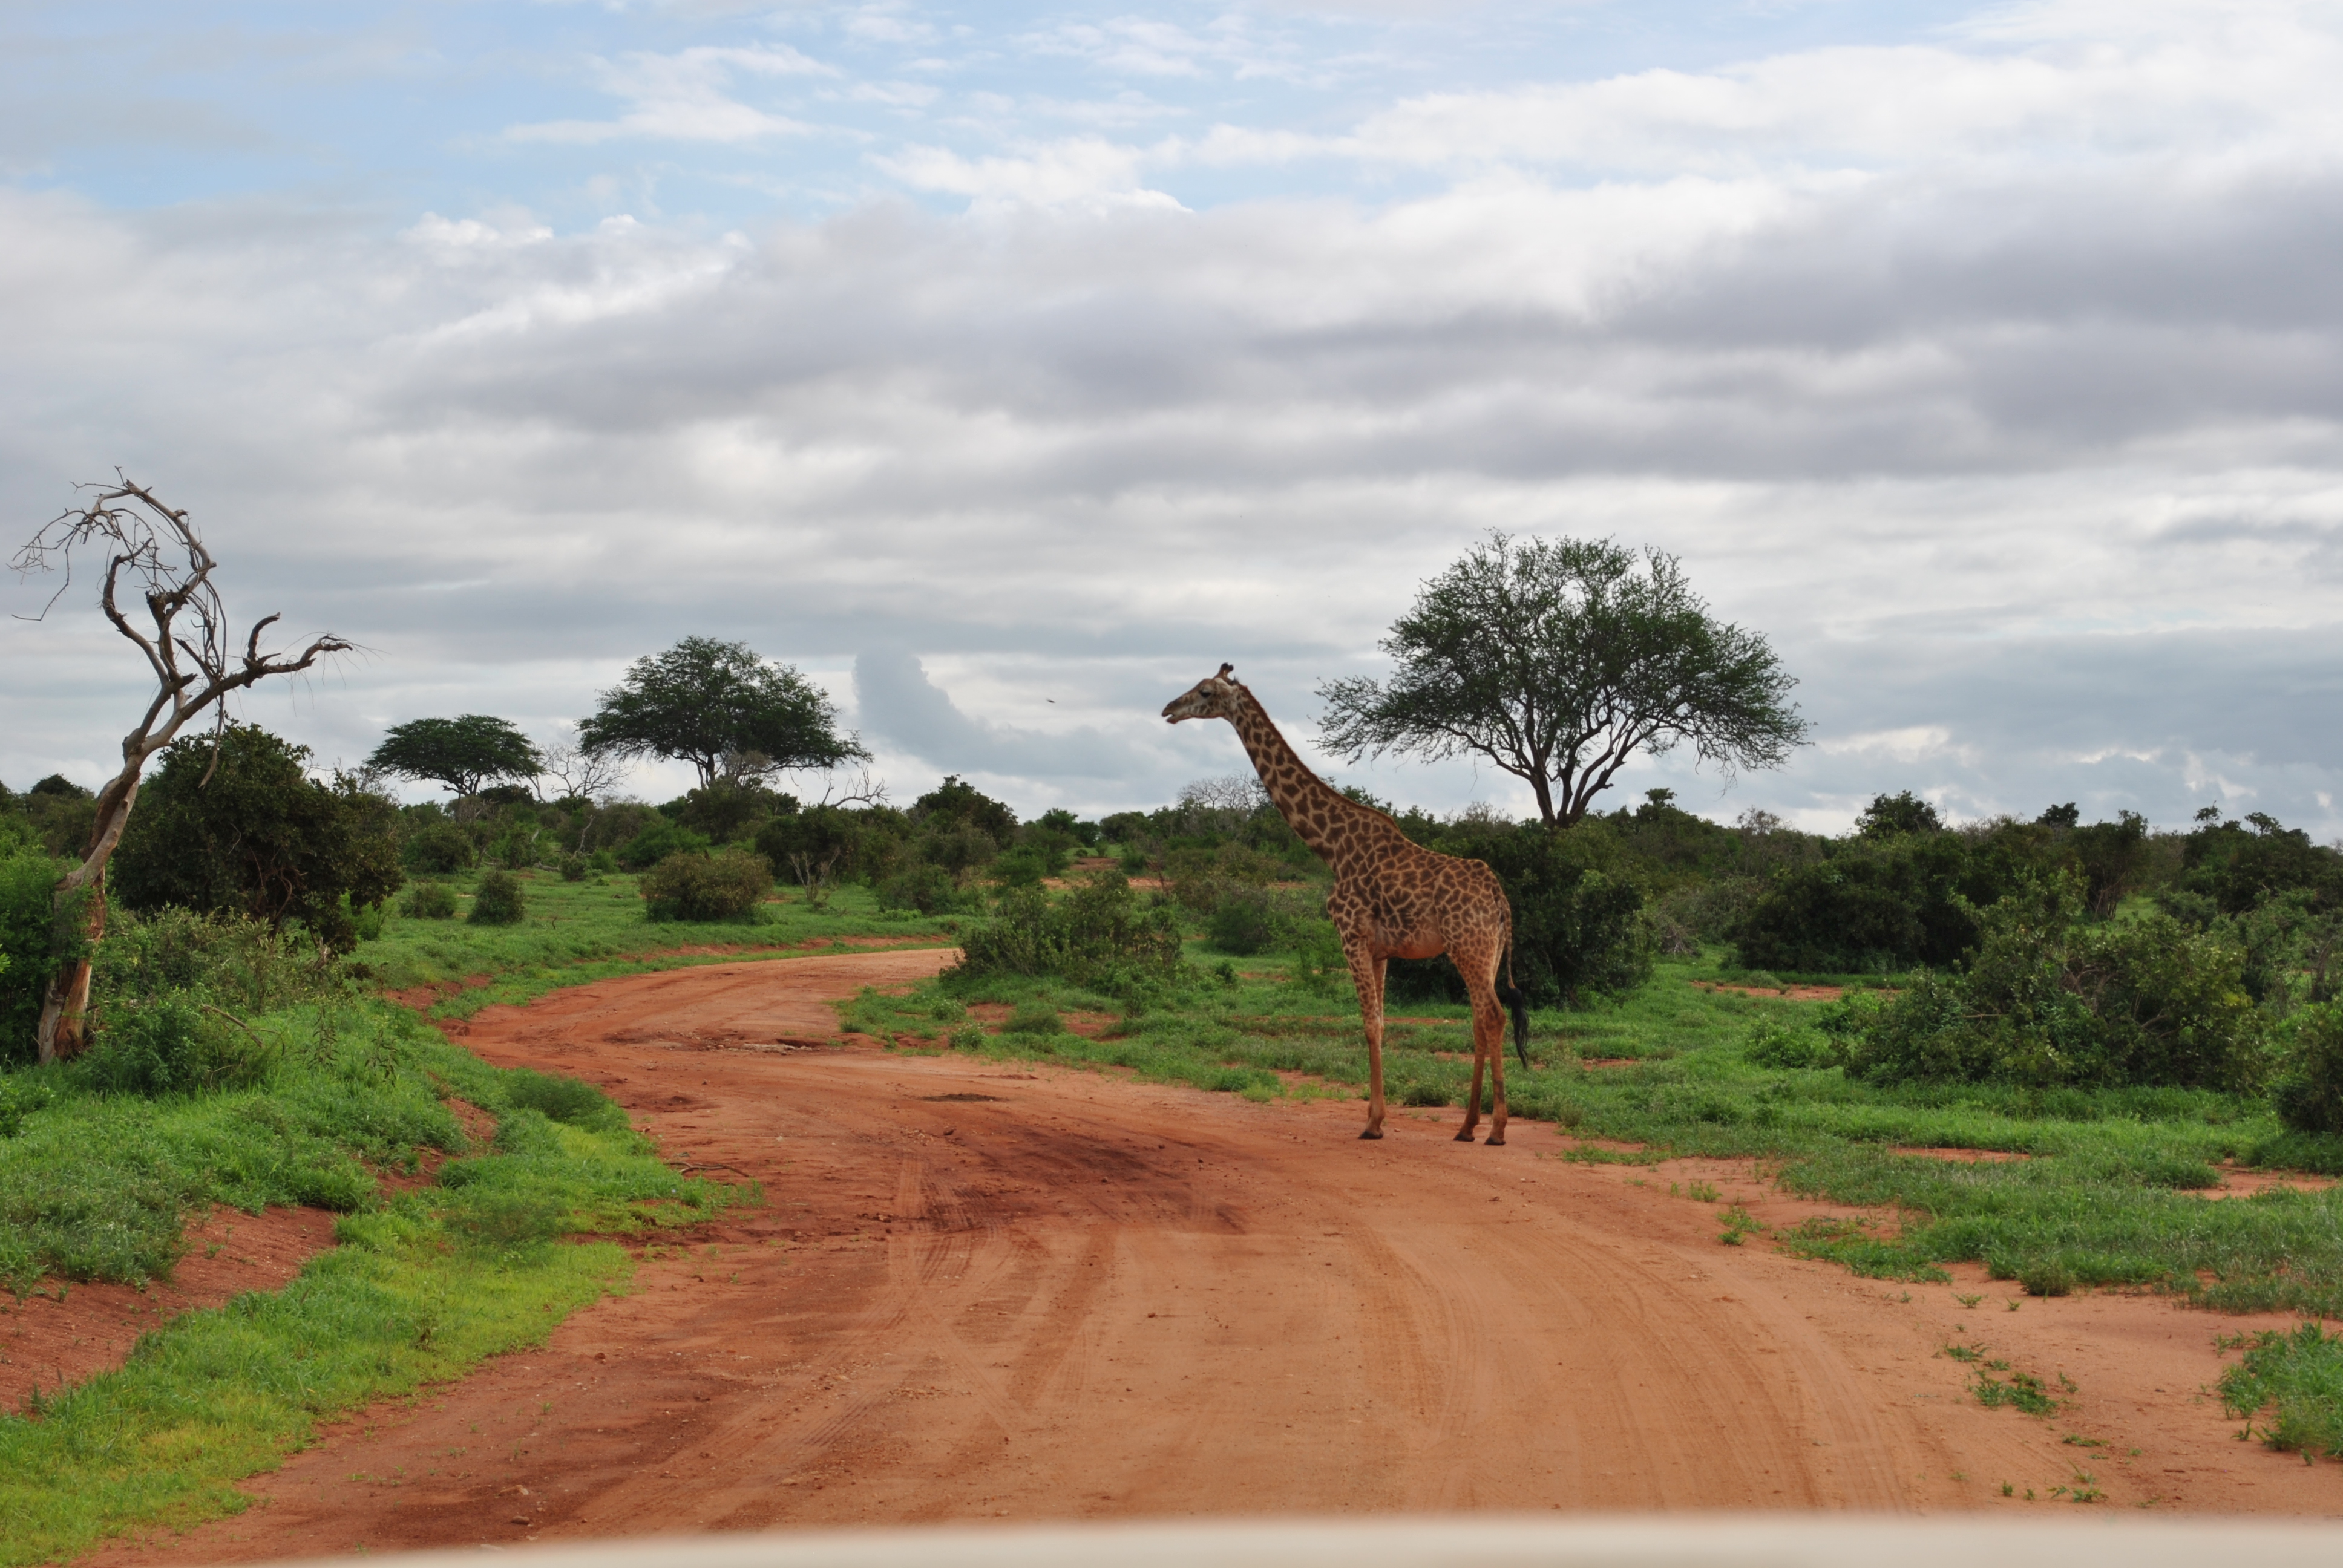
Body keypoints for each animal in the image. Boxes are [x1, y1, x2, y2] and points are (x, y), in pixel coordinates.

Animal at [1162, 665, 1527, 1143]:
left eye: (1205, 692)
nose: (1169, 709)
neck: (1330, 846)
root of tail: (1499, 898)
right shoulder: (1380, 950)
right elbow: (1381, 1022)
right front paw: (1377, 1117)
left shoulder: (1351, 935)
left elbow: (1370, 1024)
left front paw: (1373, 1123)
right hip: (1485, 952)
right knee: (1480, 1021)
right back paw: (1466, 1126)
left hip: (1470, 946)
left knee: (1494, 1018)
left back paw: (1498, 1129)